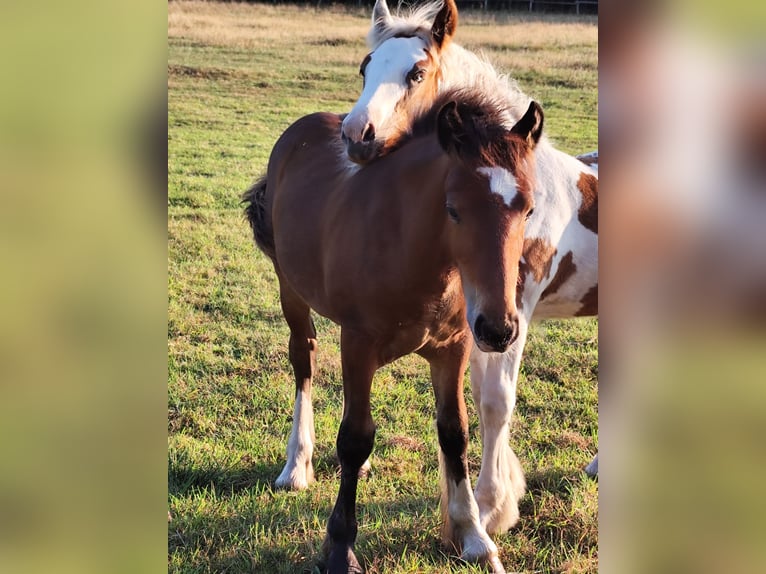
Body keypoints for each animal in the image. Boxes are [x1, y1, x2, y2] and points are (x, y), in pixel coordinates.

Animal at [243, 88, 544, 572]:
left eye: (529, 209)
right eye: (453, 209)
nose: (498, 329)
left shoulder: (453, 348)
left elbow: (454, 433)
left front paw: (474, 536)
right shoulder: (358, 343)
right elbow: (355, 437)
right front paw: (340, 548)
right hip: (291, 290)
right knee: (303, 359)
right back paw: (295, 466)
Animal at [342, 0, 600, 536]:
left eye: (416, 73)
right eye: (365, 67)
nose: (356, 137)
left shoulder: (510, 311)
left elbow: (496, 401)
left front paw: (491, 507)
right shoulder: (479, 311)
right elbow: (479, 395)